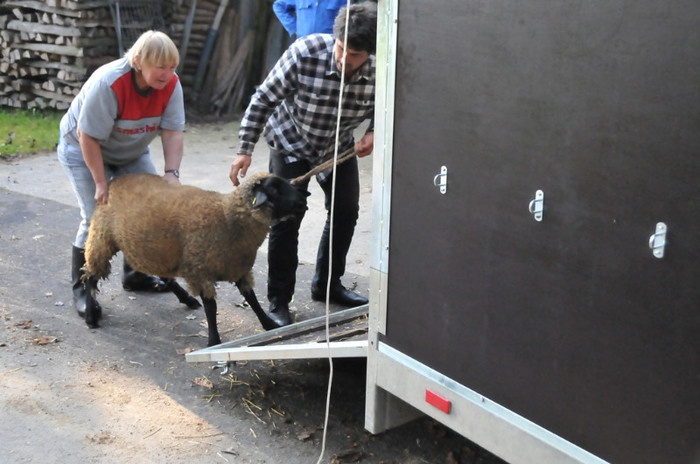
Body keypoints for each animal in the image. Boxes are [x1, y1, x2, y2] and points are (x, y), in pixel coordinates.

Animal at [81, 170, 306, 344]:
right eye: (274, 189)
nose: (304, 199)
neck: (227, 218)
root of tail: (115, 180)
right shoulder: (201, 271)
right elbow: (211, 308)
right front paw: (214, 341)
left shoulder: (238, 268)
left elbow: (252, 299)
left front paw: (269, 324)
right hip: (102, 238)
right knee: (90, 276)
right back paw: (90, 315)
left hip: (155, 249)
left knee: (163, 275)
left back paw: (187, 299)